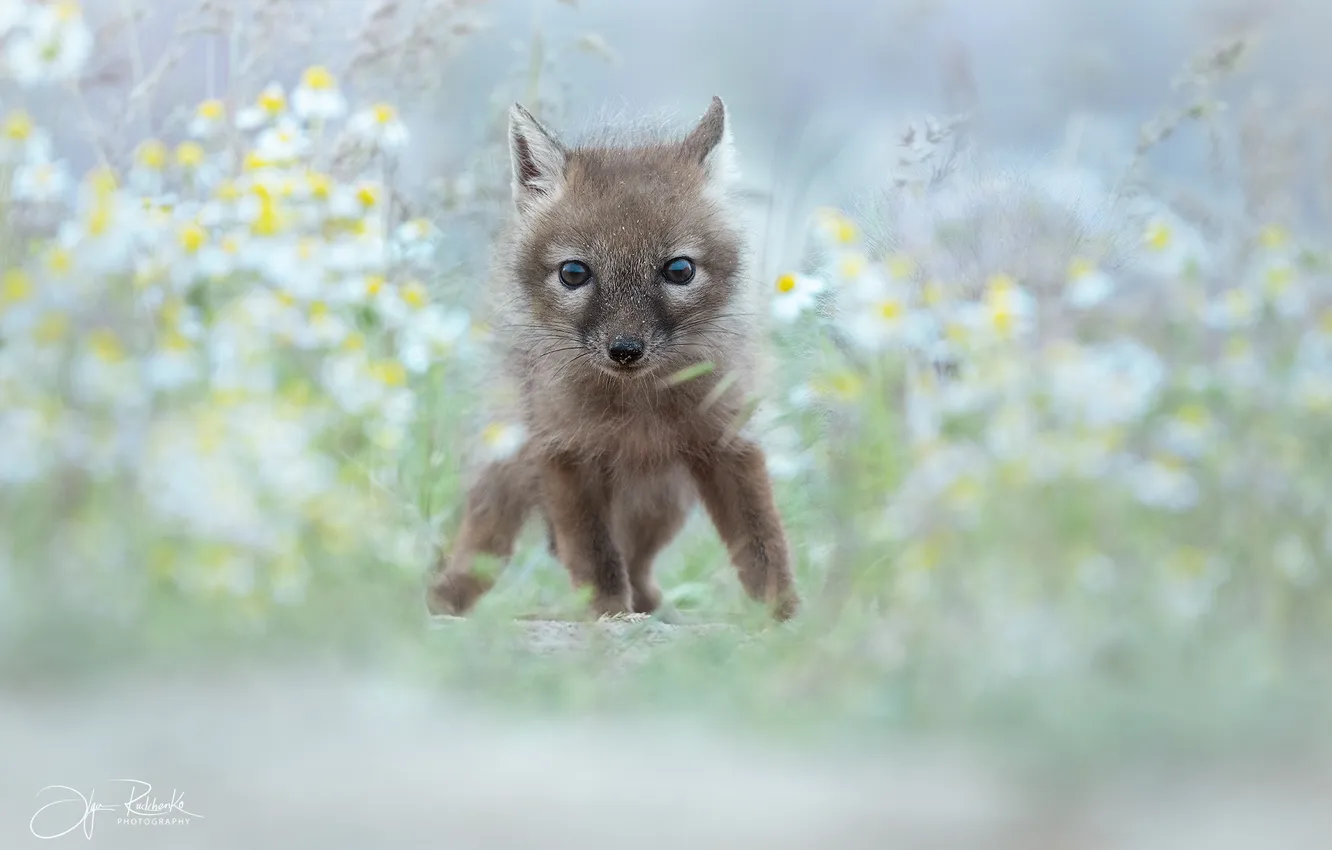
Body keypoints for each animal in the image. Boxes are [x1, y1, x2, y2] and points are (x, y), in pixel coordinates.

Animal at [425, 96, 800, 622]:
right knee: (482, 549)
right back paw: (441, 600)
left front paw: (788, 619)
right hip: (512, 474)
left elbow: (763, 545)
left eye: (678, 270)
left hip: (662, 503)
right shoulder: (565, 454)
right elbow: (595, 557)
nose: (625, 350)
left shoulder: (728, 443)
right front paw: (605, 620)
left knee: (639, 567)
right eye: (574, 273)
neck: (637, 411)